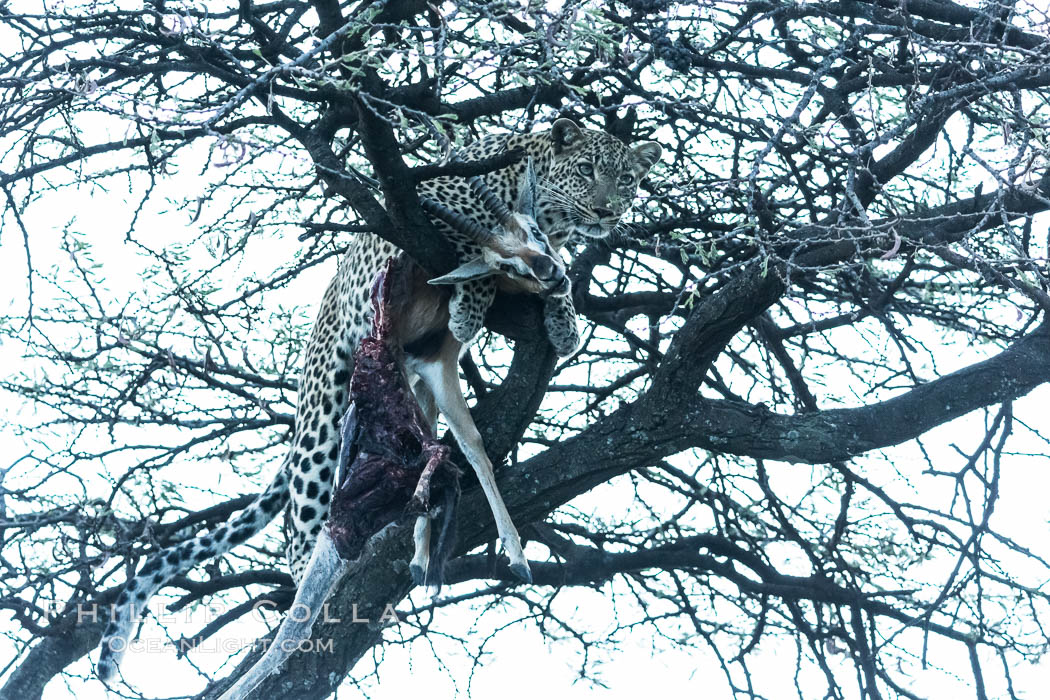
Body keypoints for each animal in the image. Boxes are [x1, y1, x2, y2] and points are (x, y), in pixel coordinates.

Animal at [96, 117, 655, 680]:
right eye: (586, 170)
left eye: (626, 178)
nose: (608, 211)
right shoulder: (420, 217)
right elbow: (461, 247)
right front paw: (474, 303)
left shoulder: (438, 362)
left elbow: (468, 445)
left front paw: (563, 320)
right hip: (325, 422)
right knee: (305, 534)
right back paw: (314, 610)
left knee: (424, 448)